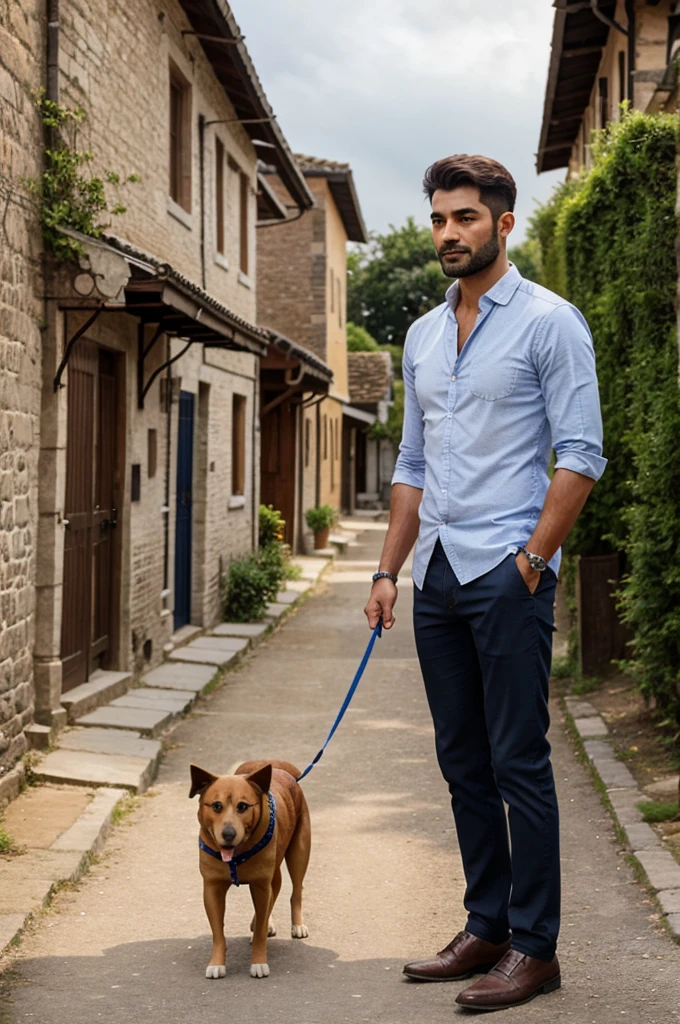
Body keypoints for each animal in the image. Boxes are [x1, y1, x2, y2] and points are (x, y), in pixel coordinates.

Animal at [188, 757, 311, 978]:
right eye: (216, 806)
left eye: (243, 806)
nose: (228, 834)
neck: (237, 854)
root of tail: (276, 766)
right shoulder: (212, 888)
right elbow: (218, 932)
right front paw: (216, 963)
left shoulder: (260, 885)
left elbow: (262, 923)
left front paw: (259, 962)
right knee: (276, 888)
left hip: (300, 850)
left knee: (296, 889)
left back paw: (297, 925)